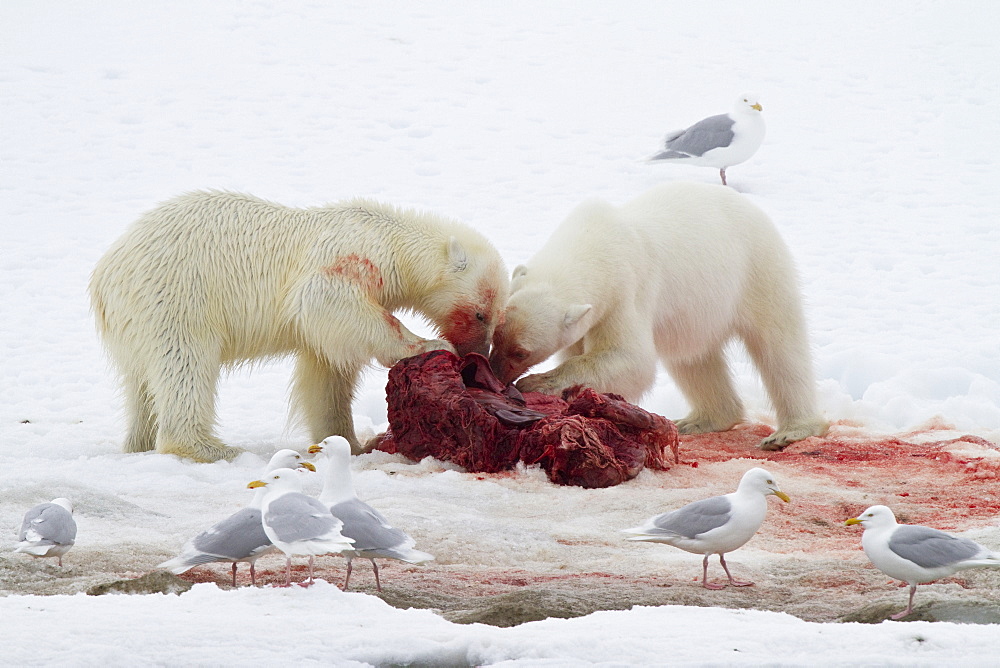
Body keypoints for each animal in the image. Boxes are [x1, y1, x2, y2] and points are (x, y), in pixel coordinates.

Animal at [91, 190, 508, 462]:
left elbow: (325, 371)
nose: (479, 355)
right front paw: (429, 345)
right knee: (185, 362)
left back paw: (139, 443)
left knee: (142, 383)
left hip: (136, 323)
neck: (389, 236)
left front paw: (351, 443)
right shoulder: (348, 258)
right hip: (176, 297)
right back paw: (213, 448)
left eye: (496, 317)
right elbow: (327, 302)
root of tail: (105, 277)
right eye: (480, 314)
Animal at [490, 181, 828, 448]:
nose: (496, 374)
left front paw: (535, 383)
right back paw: (697, 421)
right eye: (496, 336)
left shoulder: (625, 291)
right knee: (692, 360)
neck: (593, 244)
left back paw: (791, 431)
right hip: (693, 314)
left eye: (521, 352)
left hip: (757, 269)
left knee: (780, 346)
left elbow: (630, 359)